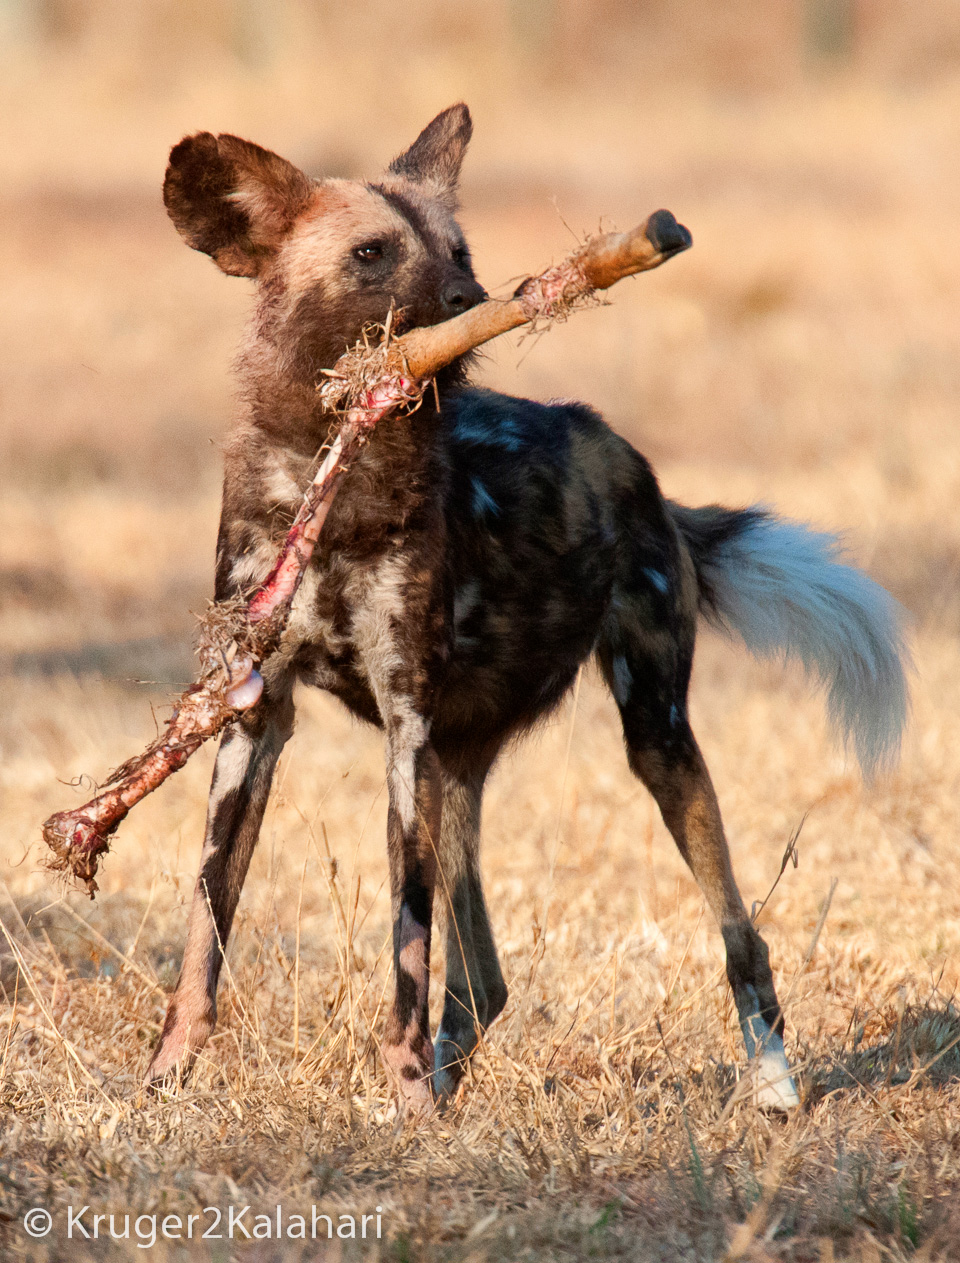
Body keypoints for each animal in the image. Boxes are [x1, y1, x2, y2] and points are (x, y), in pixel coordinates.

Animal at [144, 106, 909, 1106]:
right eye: (371, 255)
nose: (474, 295)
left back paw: (772, 1084)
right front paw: (163, 1077)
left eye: (458, 248)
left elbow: (407, 945)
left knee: (739, 932)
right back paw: (449, 1078)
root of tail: (639, 469)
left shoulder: (403, 726)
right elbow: (208, 926)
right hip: (458, 769)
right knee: (483, 981)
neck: (334, 473)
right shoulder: (254, 721)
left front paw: (399, 1095)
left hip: (654, 738)